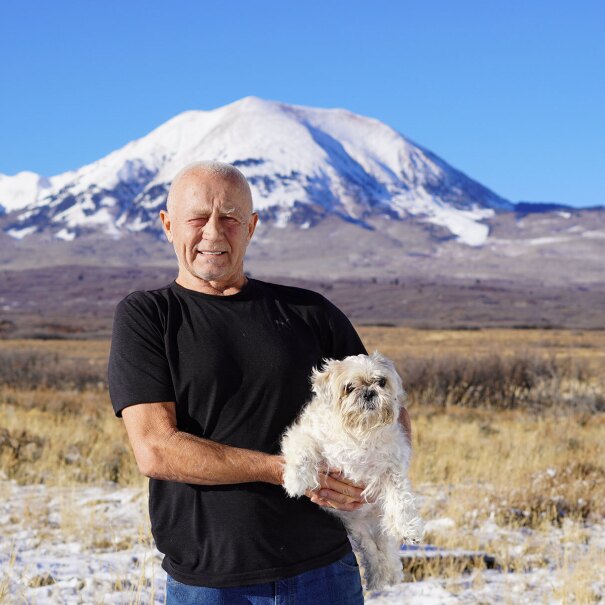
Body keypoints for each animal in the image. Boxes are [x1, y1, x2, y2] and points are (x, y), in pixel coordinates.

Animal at [280, 352, 422, 588]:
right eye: (349, 387)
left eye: (381, 382)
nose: (369, 392)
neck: (359, 431)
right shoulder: (305, 435)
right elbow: (303, 451)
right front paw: (295, 482)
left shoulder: (392, 468)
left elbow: (401, 502)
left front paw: (409, 530)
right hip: (359, 532)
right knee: (372, 552)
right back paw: (377, 578)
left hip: (377, 524)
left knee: (386, 551)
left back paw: (389, 576)